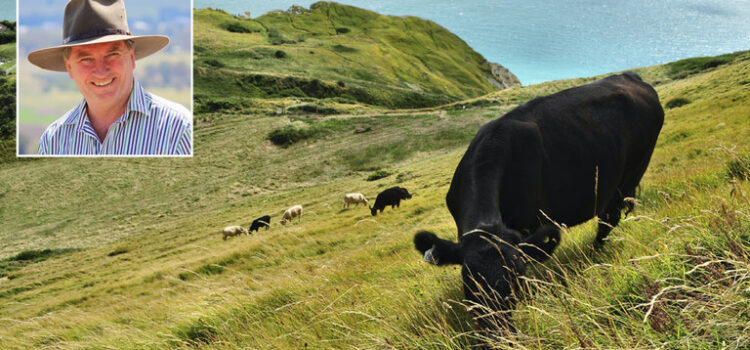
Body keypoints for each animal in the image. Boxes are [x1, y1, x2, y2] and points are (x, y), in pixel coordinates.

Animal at [414, 72, 668, 330]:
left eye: (516, 278)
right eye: (469, 281)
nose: (497, 331)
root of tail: (630, 77)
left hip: (631, 173)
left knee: (608, 219)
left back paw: (593, 253)